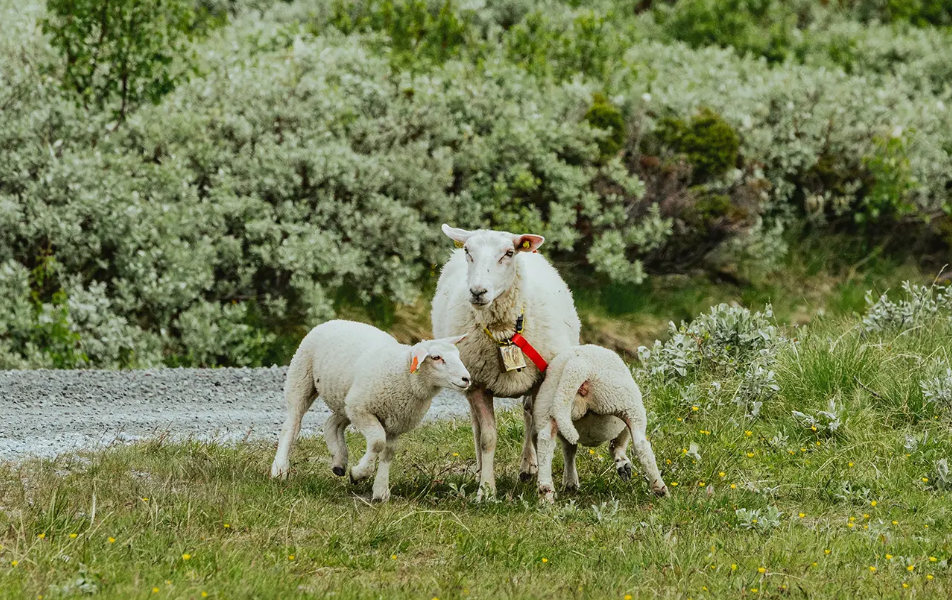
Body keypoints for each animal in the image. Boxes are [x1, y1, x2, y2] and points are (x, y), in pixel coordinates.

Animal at [270, 319, 470, 502]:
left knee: (331, 424)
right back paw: (280, 469)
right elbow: (377, 442)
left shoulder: (395, 422)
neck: (402, 374)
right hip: (302, 378)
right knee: (292, 425)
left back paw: (339, 461)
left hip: (346, 399)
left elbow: (388, 453)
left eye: (458, 355)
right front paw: (359, 473)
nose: (466, 379)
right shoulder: (363, 410)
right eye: (436, 358)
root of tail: (334, 320)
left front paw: (381, 491)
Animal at [432, 224, 581, 499]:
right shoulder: (478, 385)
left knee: (529, 415)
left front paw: (544, 486)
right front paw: (486, 490)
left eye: (509, 253)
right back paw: (482, 470)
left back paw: (531, 466)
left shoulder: (542, 379)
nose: (478, 291)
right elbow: (487, 437)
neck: (504, 334)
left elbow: (541, 431)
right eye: (468, 251)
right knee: (477, 427)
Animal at [533, 344, 668, 502]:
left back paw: (546, 493)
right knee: (641, 446)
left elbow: (569, 449)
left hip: (549, 406)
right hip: (625, 402)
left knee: (545, 441)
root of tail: (577, 364)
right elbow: (618, 444)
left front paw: (570, 482)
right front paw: (622, 462)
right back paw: (660, 489)